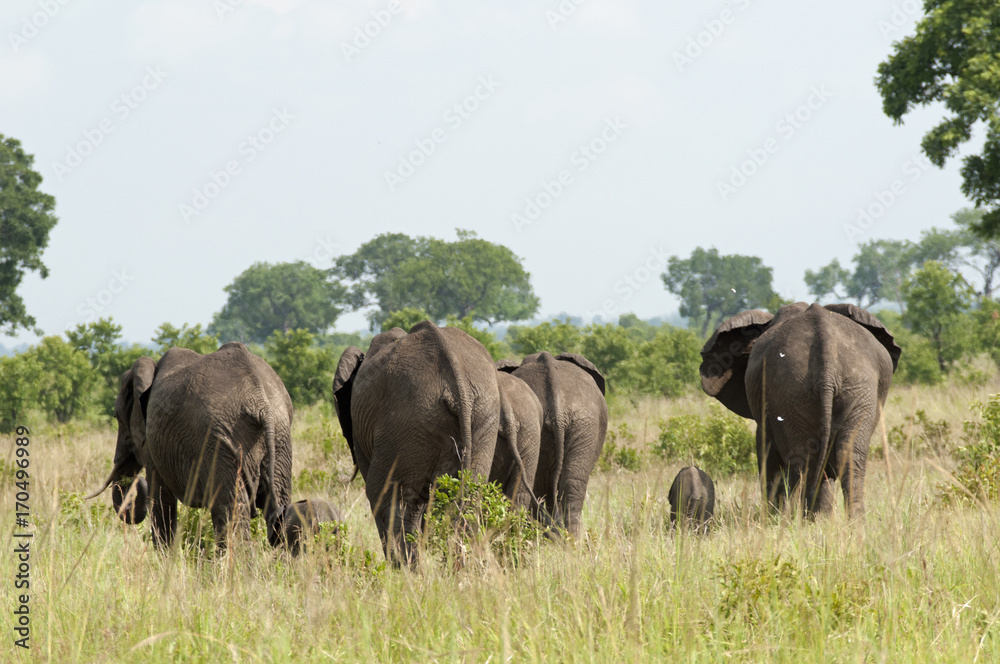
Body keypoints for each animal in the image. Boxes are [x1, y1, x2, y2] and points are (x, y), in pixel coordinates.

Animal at [87, 342, 294, 549]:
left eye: (117, 416)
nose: (138, 483)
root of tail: (260, 402)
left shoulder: (153, 441)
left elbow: (161, 499)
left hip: (220, 444)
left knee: (230, 512)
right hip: (279, 438)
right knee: (279, 507)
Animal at [333, 320, 500, 564]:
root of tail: (457, 384)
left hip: (407, 422)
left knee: (393, 501)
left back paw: (402, 570)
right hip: (483, 417)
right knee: (469, 499)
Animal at [700, 302, 900, 517]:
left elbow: (767, 454)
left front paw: (773, 518)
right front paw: (821, 518)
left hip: (794, 392)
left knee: (804, 463)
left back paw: (798, 520)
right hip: (855, 388)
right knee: (848, 457)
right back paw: (847, 521)